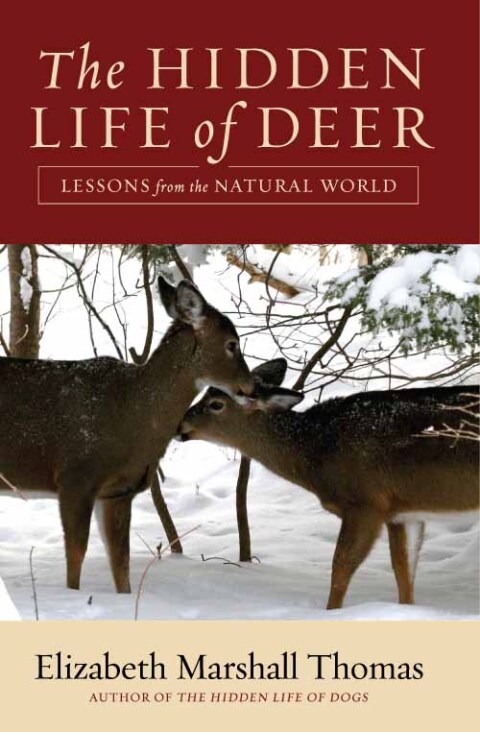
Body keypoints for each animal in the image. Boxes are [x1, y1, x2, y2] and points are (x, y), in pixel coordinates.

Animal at [0, 277, 254, 594]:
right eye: (232, 343)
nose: (251, 387)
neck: (133, 415)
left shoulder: (119, 491)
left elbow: (121, 564)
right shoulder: (76, 476)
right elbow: (77, 555)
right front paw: (73, 595)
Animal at [178, 359, 479, 609]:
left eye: (216, 404)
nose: (179, 426)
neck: (316, 449)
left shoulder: (365, 501)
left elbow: (340, 567)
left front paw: (331, 612)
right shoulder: (401, 511)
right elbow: (403, 569)